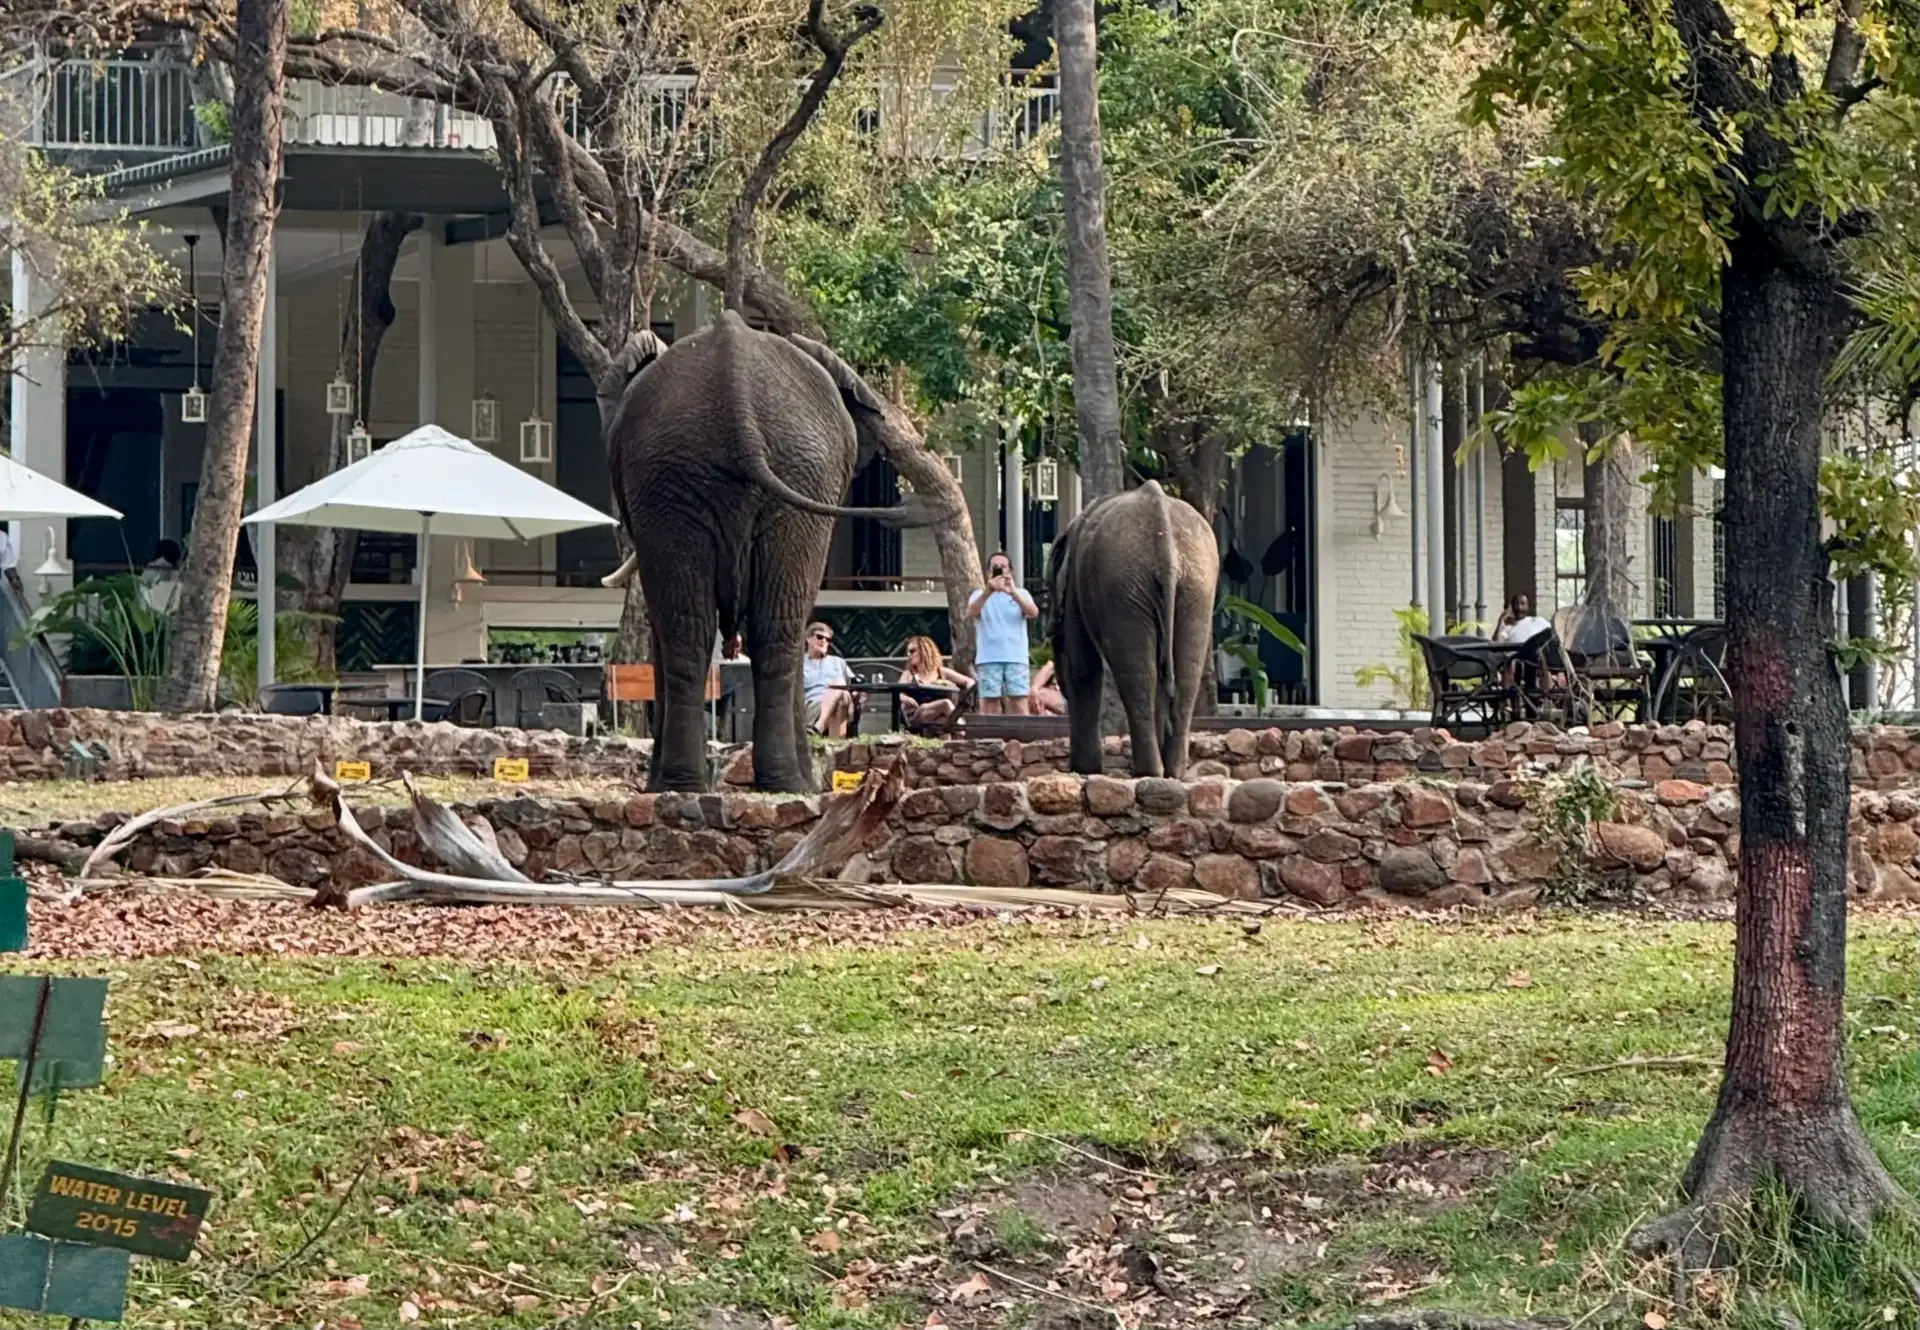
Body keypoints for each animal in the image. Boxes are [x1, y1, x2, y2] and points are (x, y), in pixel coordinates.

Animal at [596, 311, 933, 793]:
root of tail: (736, 396)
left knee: (742, 626)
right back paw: (734, 785)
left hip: (764, 475)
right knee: (742, 627)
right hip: (682, 476)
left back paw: (738, 785)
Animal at [1049, 481, 1221, 779]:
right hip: (1196, 586)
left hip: (1123, 586)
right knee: (1184, 674)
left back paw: (1148, 772)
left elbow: (1082, 666)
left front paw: (1084, 770)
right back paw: (1172, 773)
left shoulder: (1073, 587)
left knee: (1137, 674)